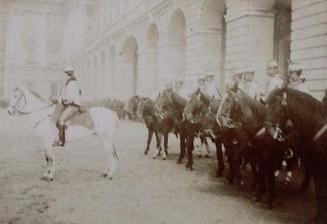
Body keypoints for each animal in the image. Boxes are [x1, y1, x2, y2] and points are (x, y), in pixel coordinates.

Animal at [266, 88, 327, 222]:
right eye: (267, 104)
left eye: (278, 105)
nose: (268, 129)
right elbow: (321, 192)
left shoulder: (320, 170)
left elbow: (321, 192)